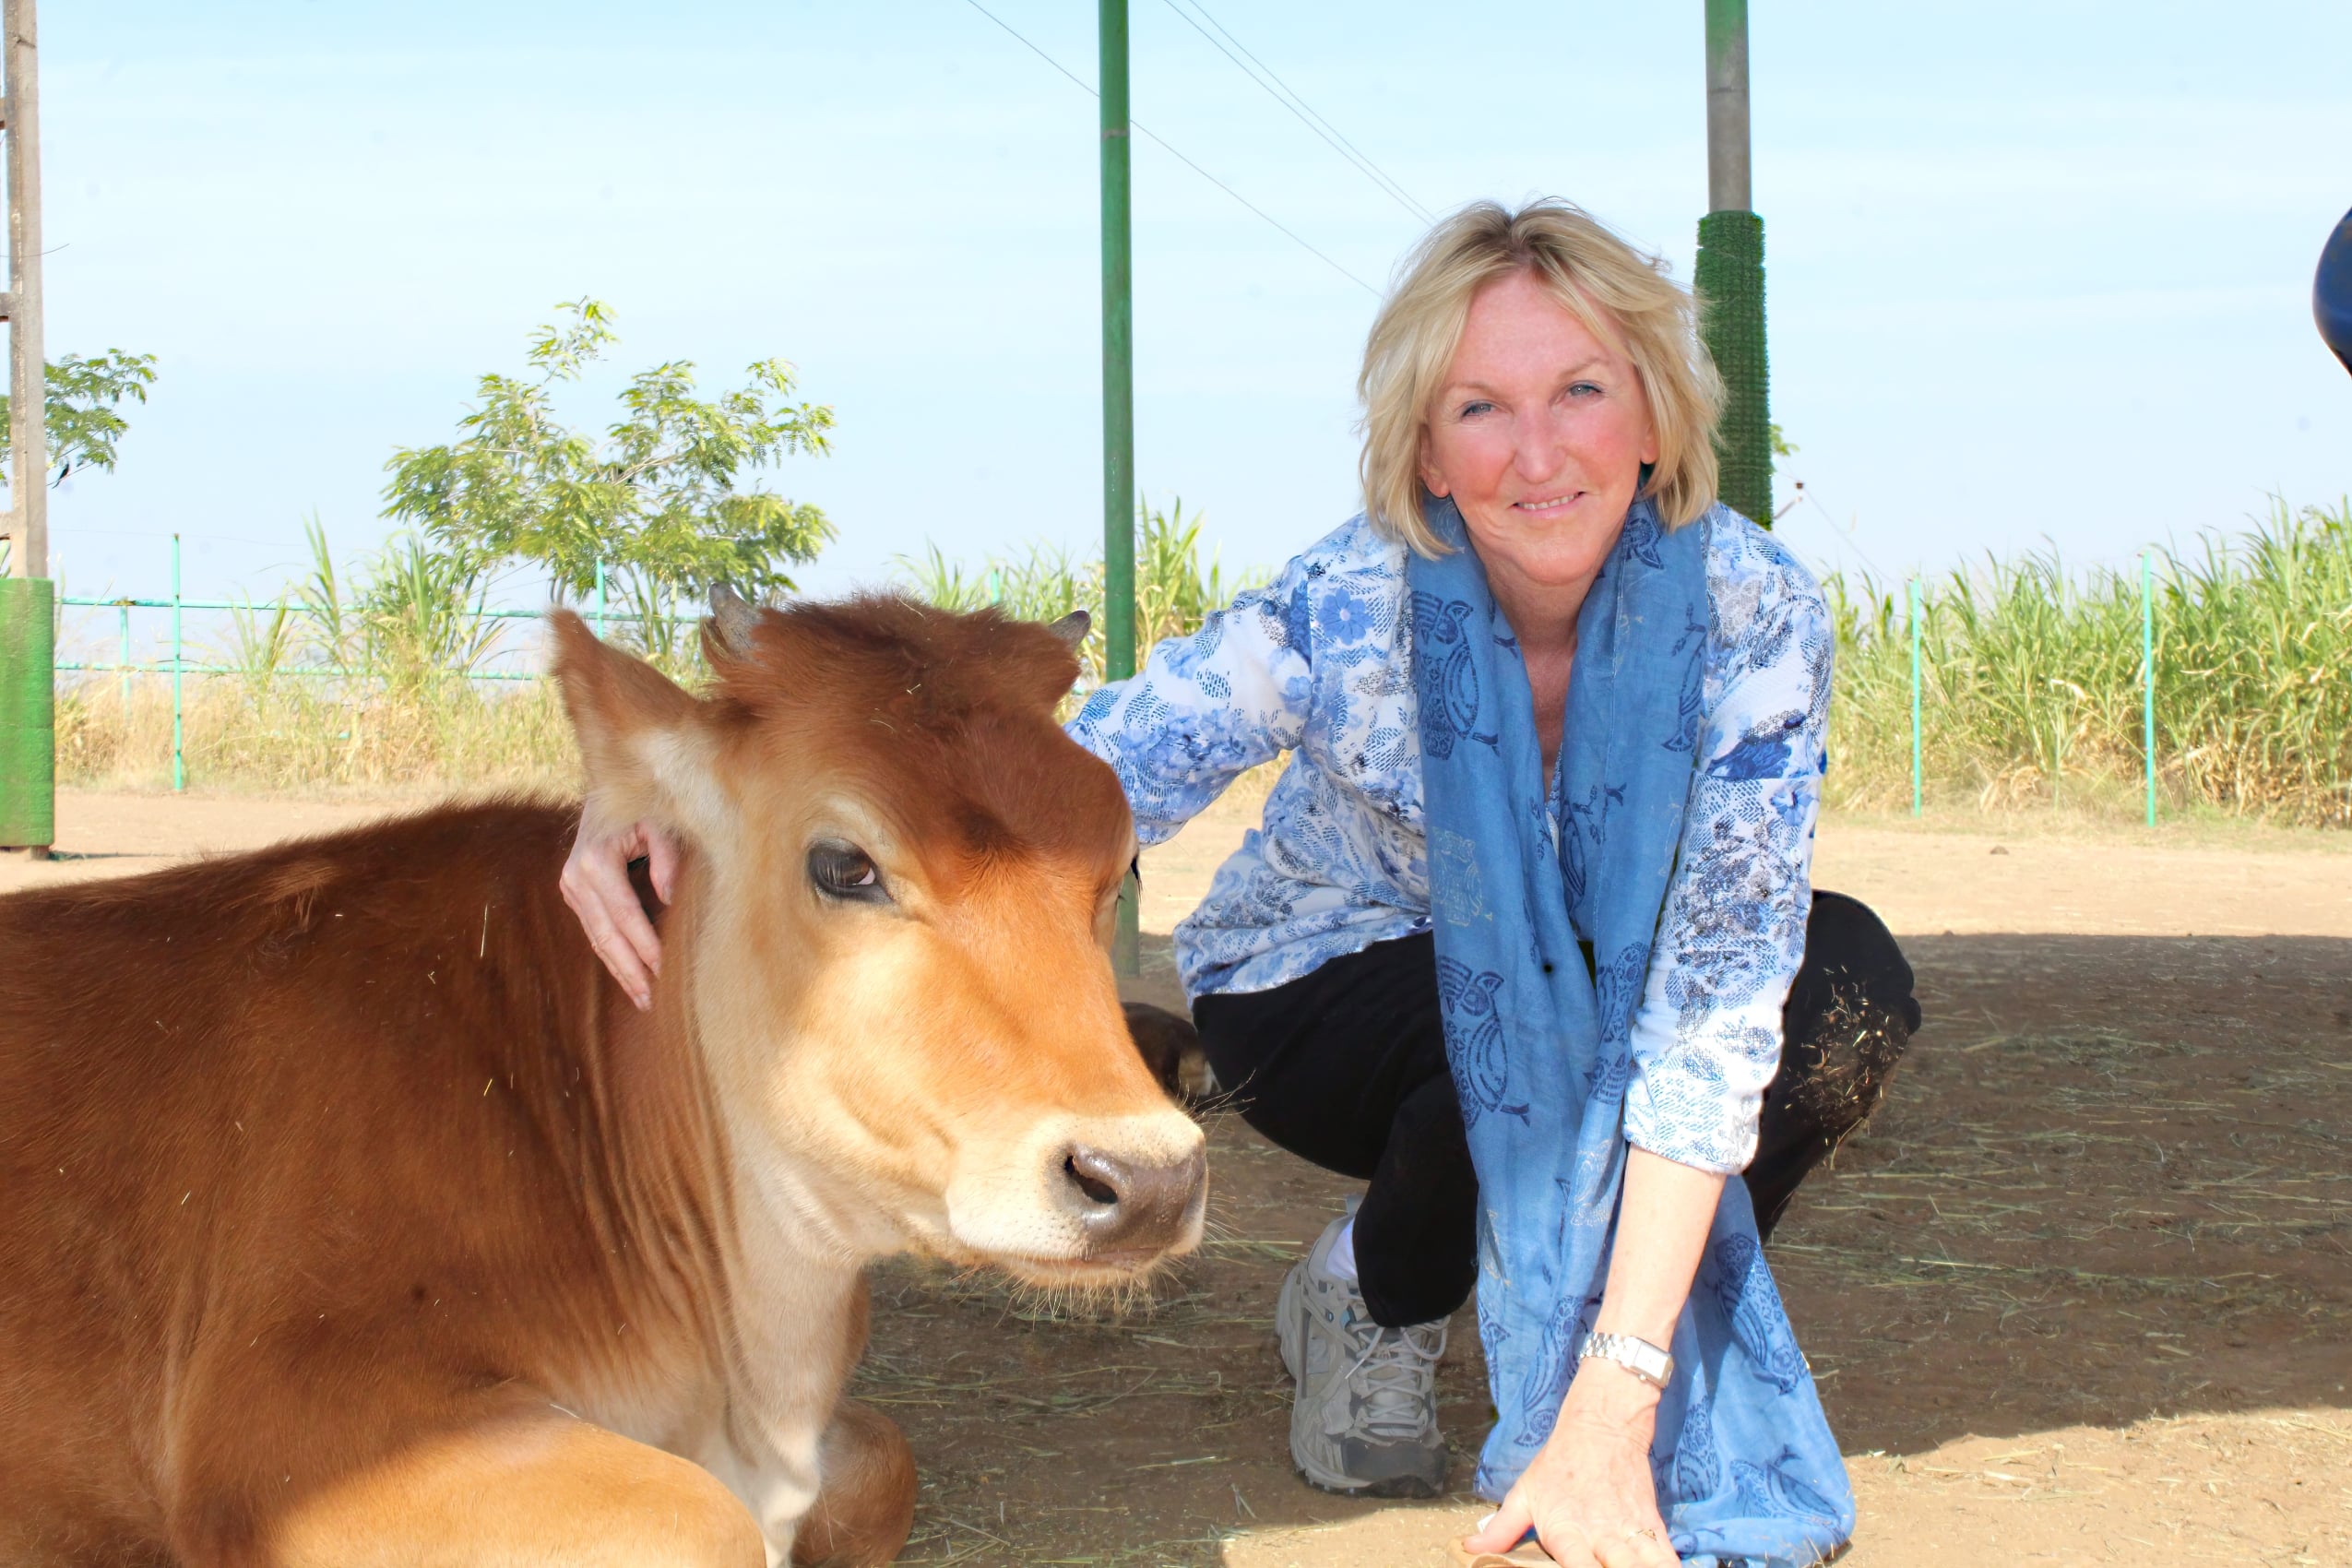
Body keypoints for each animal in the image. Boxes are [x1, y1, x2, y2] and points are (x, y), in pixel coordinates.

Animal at [0, 593, 1208, 1567]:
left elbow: (879, 1463)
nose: (1145, 1175)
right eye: (844, 863)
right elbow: (706, 1520)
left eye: (1126, 859)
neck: (749, 1369)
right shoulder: (287, 1431)